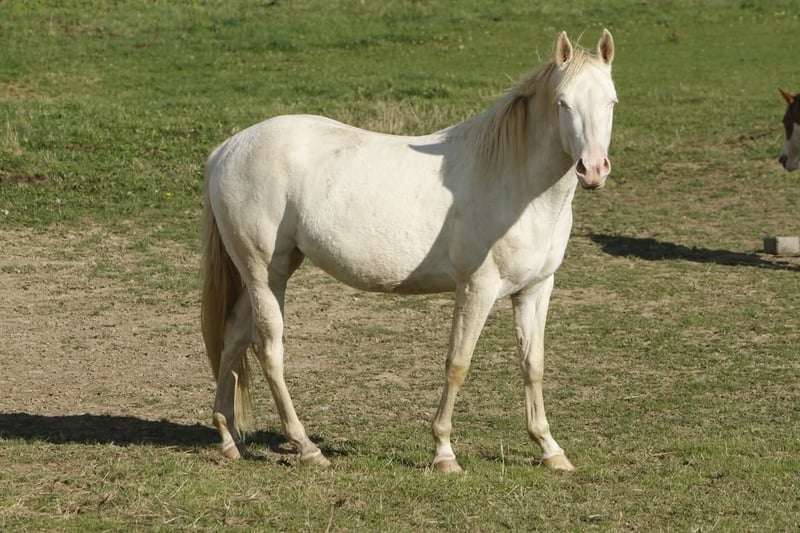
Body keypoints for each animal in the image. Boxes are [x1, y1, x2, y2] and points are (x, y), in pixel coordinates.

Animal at [201, 29, 617, 473]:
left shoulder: (534, 290)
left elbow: (532, 364)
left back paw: (229, 440)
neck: (514, 182)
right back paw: (307, 447)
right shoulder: (477, 289)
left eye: (611, 101)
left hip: (264, 274)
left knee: (234, 336)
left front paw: (550, 449)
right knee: (268, 350)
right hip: (265, 274)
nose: (593, 169)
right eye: (563, 102)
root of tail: (225, 150)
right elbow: (458, 363)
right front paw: (444, 453)